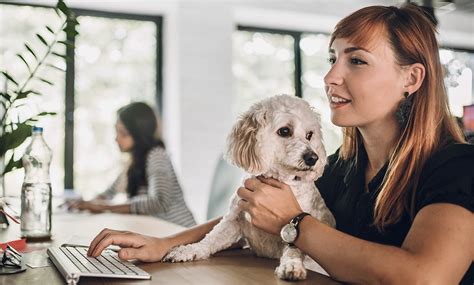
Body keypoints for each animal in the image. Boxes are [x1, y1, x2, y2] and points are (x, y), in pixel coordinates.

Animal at [165, 95, 336, 280]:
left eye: (309, 135)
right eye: (284, 131)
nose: (313, 158)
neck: (278, 180)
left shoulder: (293, 230)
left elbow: (294, 249)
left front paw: (292, 266)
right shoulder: (234, 220)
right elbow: (211, 238)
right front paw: (189, 250)